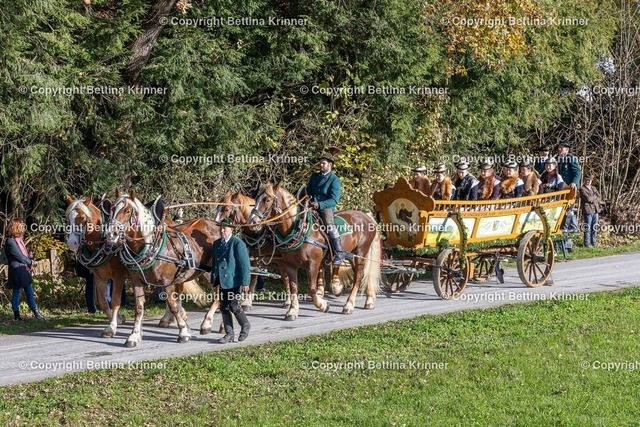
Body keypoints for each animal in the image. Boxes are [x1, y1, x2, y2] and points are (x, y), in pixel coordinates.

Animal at [105, 189, 220, 347]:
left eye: (127, 211)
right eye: (112, 209)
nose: (111, 233)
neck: (151, 246)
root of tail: (215, 224)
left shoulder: (167, 282)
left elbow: (172, 304)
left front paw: (183, 332)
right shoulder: (137, 281)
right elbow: (139, 308)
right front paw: (134, 336)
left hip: (211, 272)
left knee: (219, 294)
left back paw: (208, 324)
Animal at [249, 183, 381, 320]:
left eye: (267, 199)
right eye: (256, 198)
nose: (252, 221)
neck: (299, 228)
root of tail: (367, 217)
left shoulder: (313, 264)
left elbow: (311, 289)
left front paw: (323, 305)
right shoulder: (290, 265)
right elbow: (293, 287)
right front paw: (292, 311)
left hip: (360, 253)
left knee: (359, 276)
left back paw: (349, 305)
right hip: (352, 255)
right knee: (362, 274)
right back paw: (369, 300)